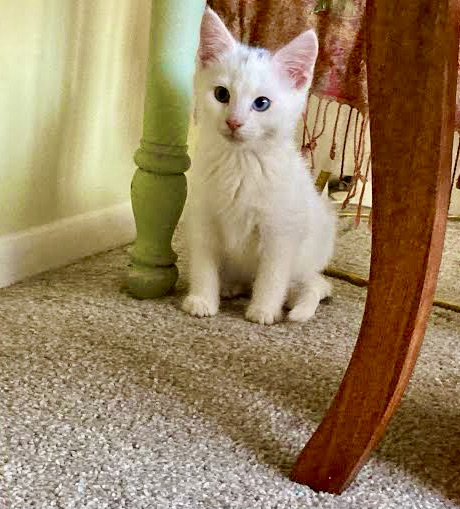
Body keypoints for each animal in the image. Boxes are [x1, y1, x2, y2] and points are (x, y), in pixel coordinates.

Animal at [181, 7, 336, 325]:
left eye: (261, 103)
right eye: (222, 94)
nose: (234, 122)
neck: (240, 164)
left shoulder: (281, 229)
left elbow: (272, 274)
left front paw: (264, 309)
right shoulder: (202, 216)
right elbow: (204, 262)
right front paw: (203, 298)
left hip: (316, 241)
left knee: (316, 284)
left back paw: (299, 304)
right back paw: (232, 285)